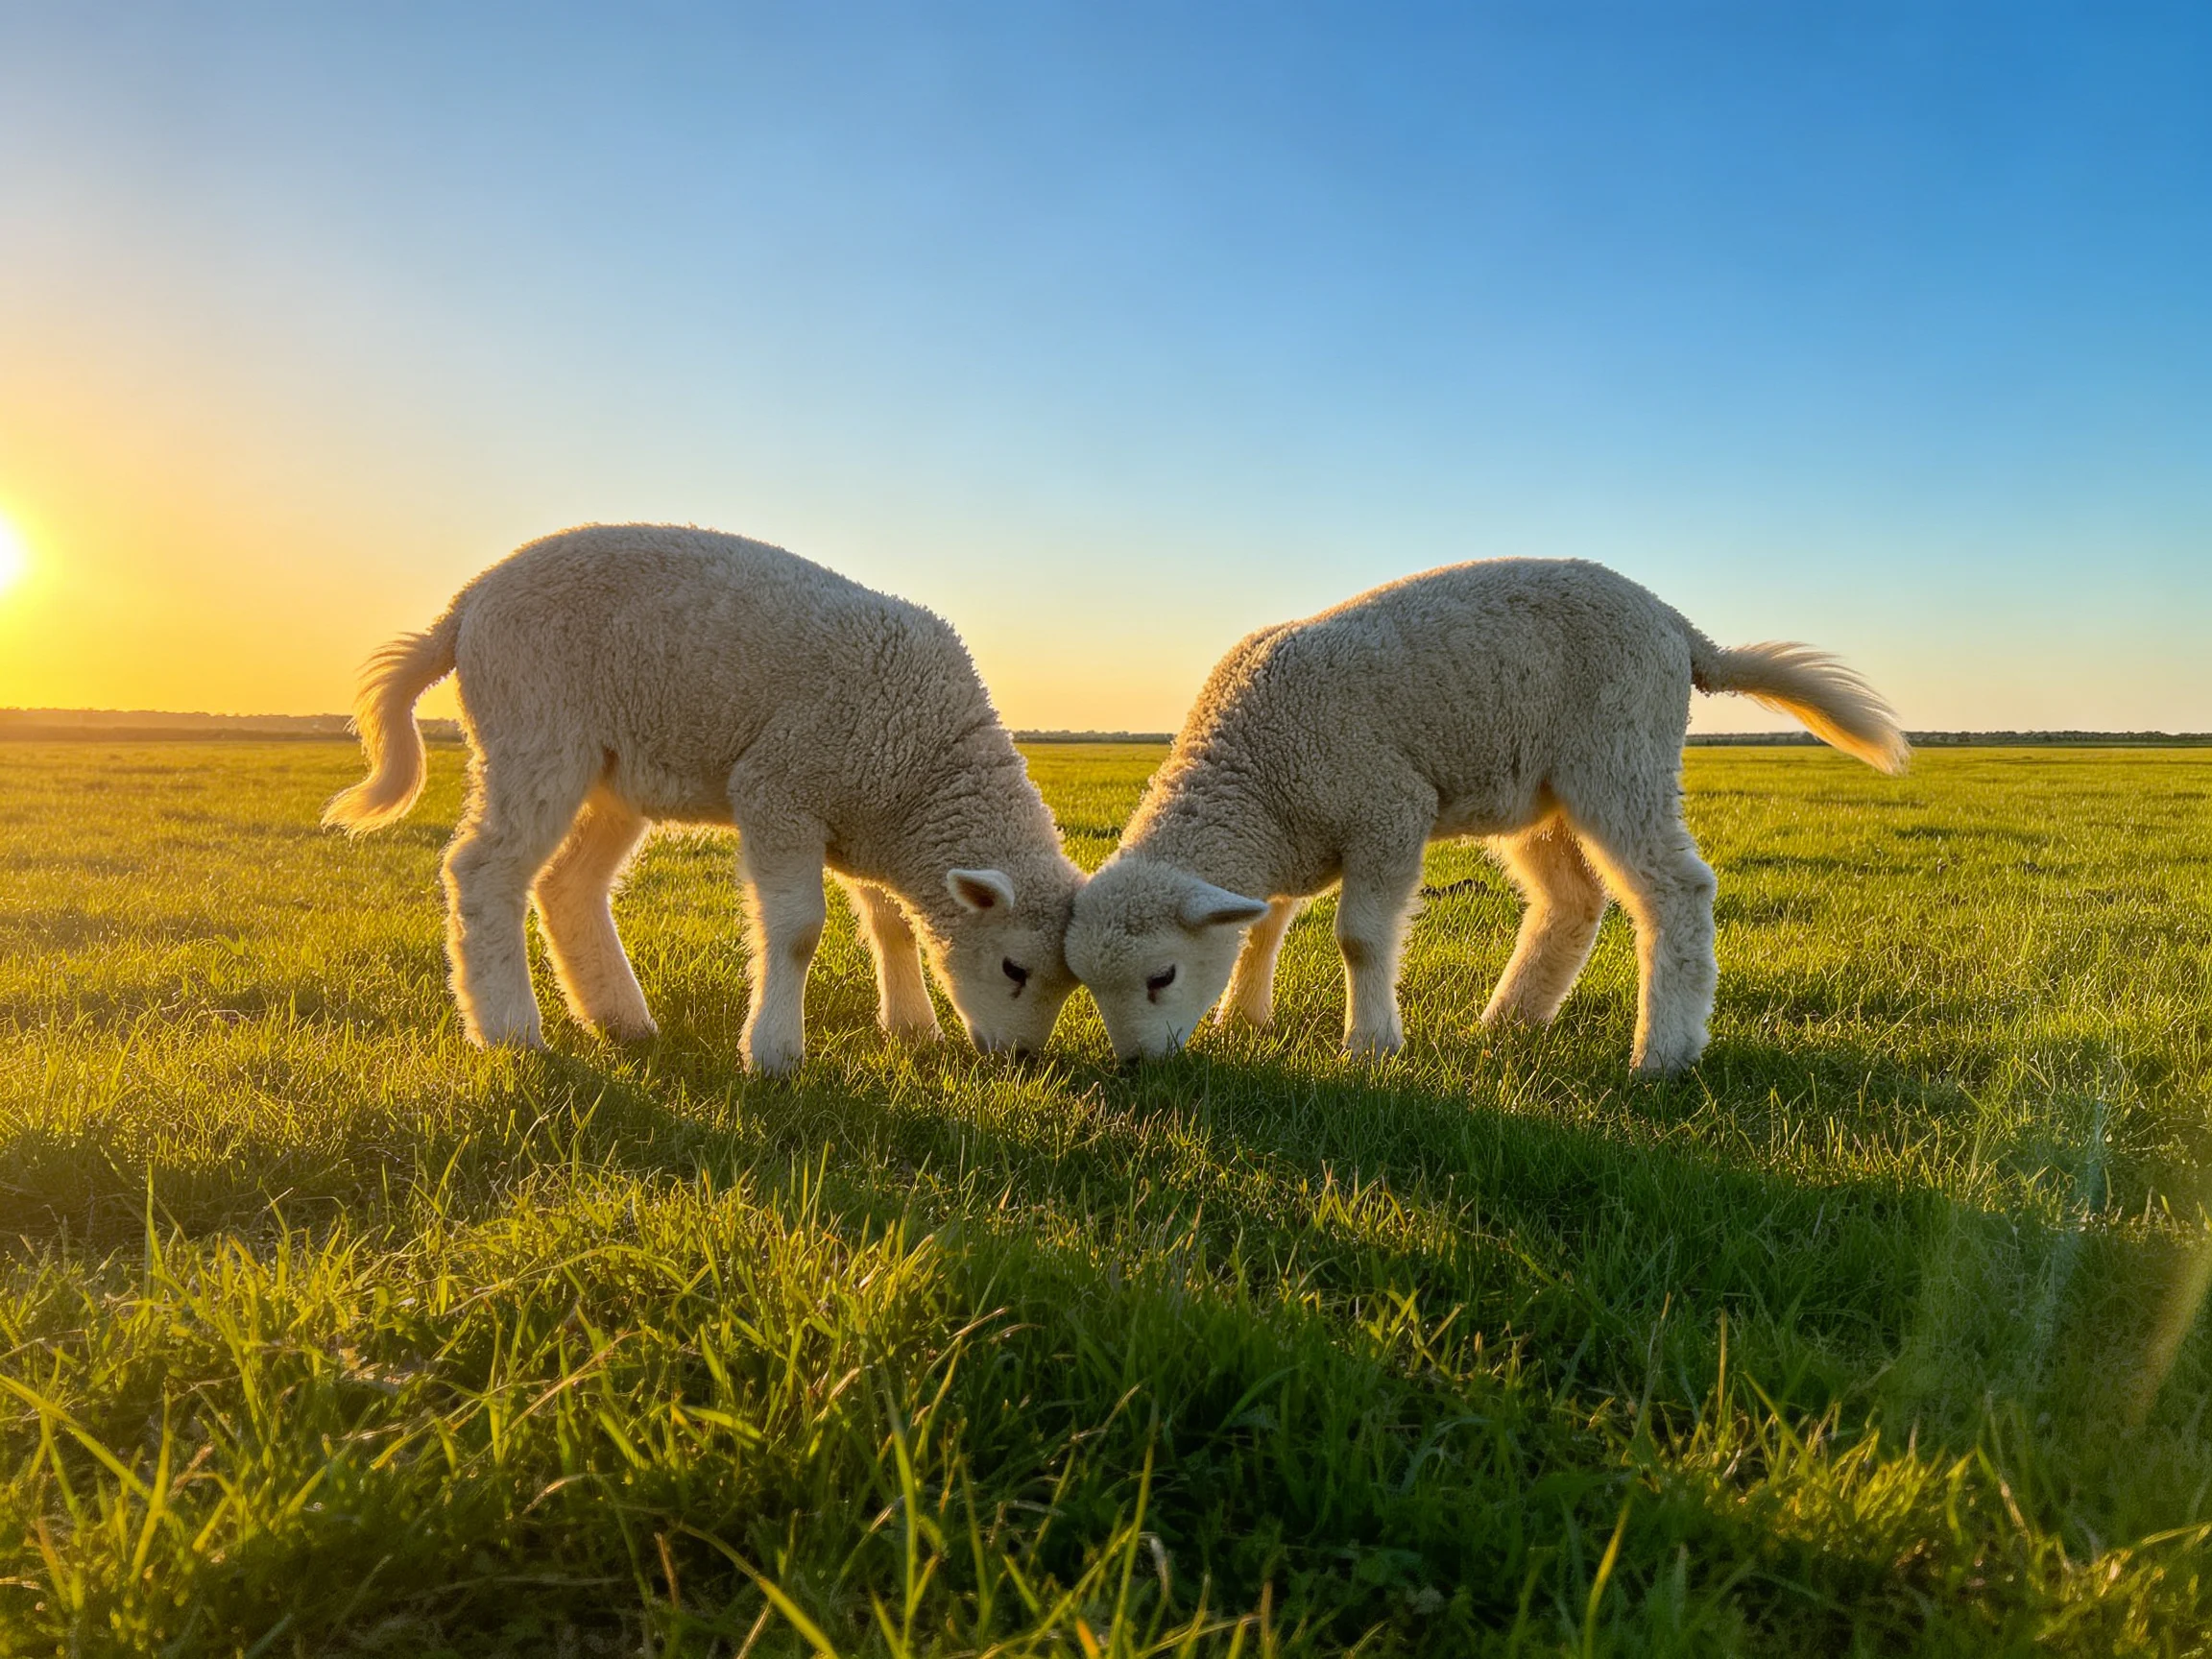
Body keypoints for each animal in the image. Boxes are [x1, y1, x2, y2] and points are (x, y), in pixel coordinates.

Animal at [323, 524, 1083, 1074]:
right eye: (1014, 968)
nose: (1022, 1061)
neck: (924, 764)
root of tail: (466, 604)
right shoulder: (780, 787)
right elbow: (799, 929)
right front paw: (774, 1054)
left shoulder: (861, 812)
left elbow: (890, 923)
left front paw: (912, 1028)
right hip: (534, 727)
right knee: (483, 872)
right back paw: (511, 1032)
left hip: (611, 771)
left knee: (568, 886)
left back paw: (620, 1020)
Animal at [1064, 558, 1908, 1076]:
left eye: (1161, 976)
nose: (1135, 1068)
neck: (1252, 779)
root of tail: (1678, 626)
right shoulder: (1295, 837)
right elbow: (1264, 926)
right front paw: (1243, 1021)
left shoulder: (1386, 808)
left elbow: (1359, 939)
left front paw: (1370, 1046)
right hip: (1545, 793)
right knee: (1573, 902)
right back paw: (1509, 1023)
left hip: (1620, 751)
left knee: (1676, 891)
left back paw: (1661, 1055)